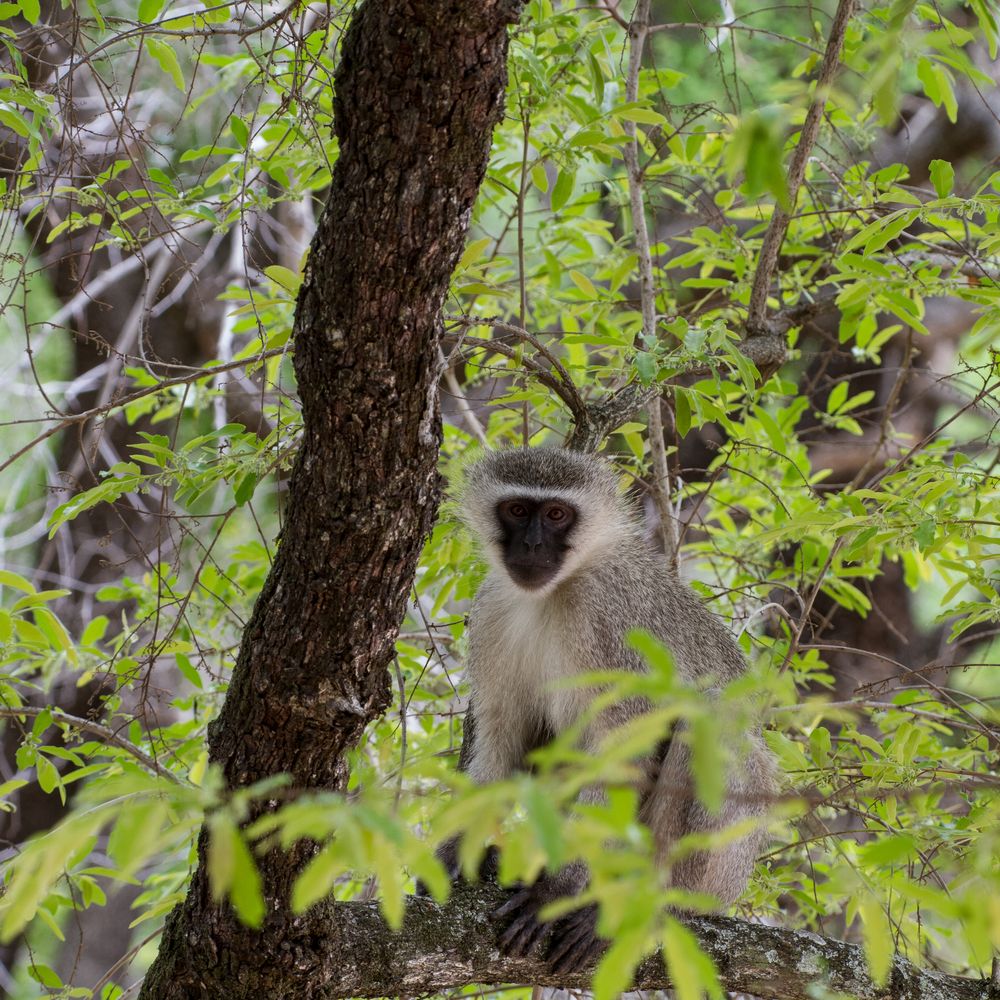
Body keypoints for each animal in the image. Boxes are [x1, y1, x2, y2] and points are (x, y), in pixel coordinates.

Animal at [438, 450, 772, 972]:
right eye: (517, 510)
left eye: (557, 514)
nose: (532, 544)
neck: (556, 591)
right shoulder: (493, 610)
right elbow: (503, 739)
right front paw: (458, 851)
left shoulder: (608, 616)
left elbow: (624, 747)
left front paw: (556, 892)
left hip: (723, 868)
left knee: (708, 719)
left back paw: (641, 898)